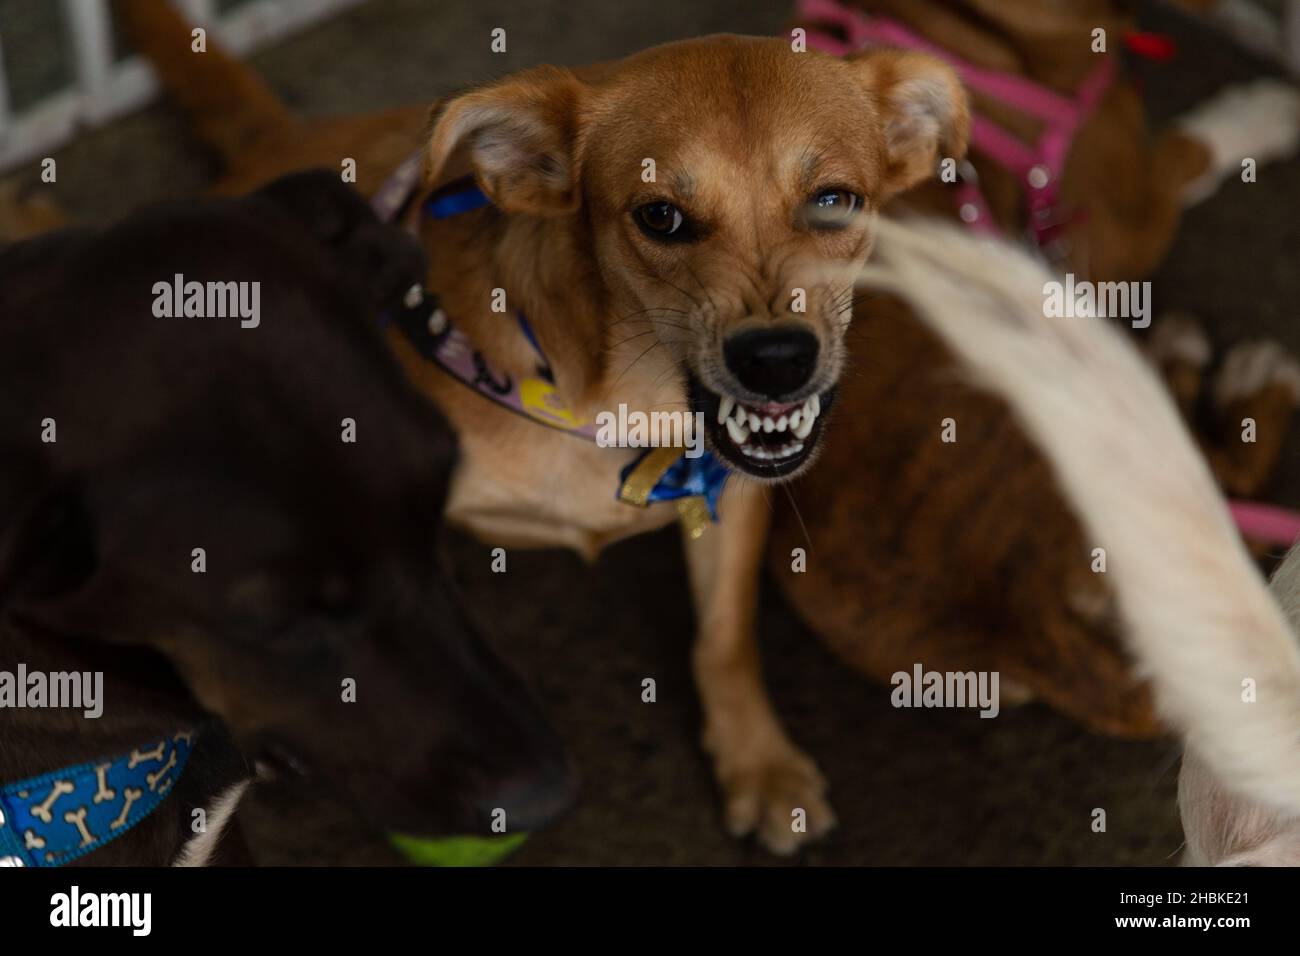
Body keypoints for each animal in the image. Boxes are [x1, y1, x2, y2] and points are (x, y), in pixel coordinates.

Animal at [116, 0, 972, 853]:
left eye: (834, 199)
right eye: (661, 217)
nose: (776, 361)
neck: (611, 401)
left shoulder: (728, 498)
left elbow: (724, 638)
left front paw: (758, 765)